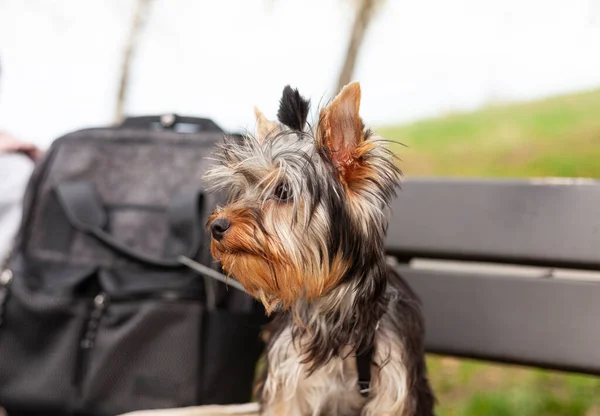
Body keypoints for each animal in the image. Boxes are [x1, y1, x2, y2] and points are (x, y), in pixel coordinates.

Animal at [204, 82, 434, 416]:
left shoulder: (394, 383)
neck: (334, 313)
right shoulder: (288, 375)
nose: (217, 226)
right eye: (243, 190)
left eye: (283, 191)